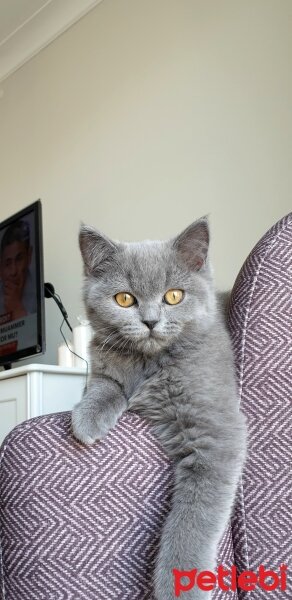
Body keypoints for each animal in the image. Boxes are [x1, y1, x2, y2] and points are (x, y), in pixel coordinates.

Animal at [72, 220, 245, 600]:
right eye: (124, 299)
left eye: (174, 296)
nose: (150, 321)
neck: (149, 363)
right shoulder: (103, 365)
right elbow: (104, 384)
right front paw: (87, 419)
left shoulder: (216, 433)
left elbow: (191, 521)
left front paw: (180, 587)